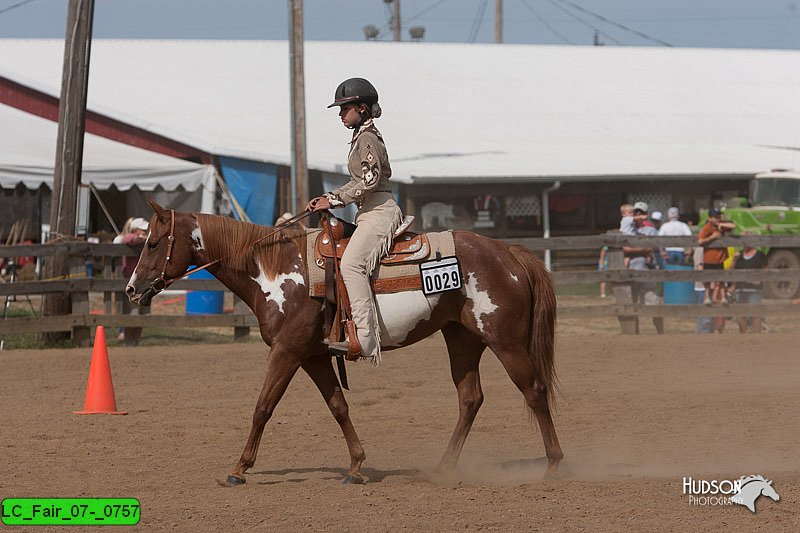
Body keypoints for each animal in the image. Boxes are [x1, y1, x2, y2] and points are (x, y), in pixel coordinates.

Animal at [125, 197, 564, 484]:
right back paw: (442, 468)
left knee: (534, 390)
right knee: (470, 398)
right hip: (462, 339)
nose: (131, 290)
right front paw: (356, 466)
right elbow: (338, 406)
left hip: (505, 341)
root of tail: (509, 252)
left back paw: (554, 465)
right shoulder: (313, 356)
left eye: (152, 243)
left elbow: (263, 407)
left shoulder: (286, 352)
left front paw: (238, 469)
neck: (275, 270)